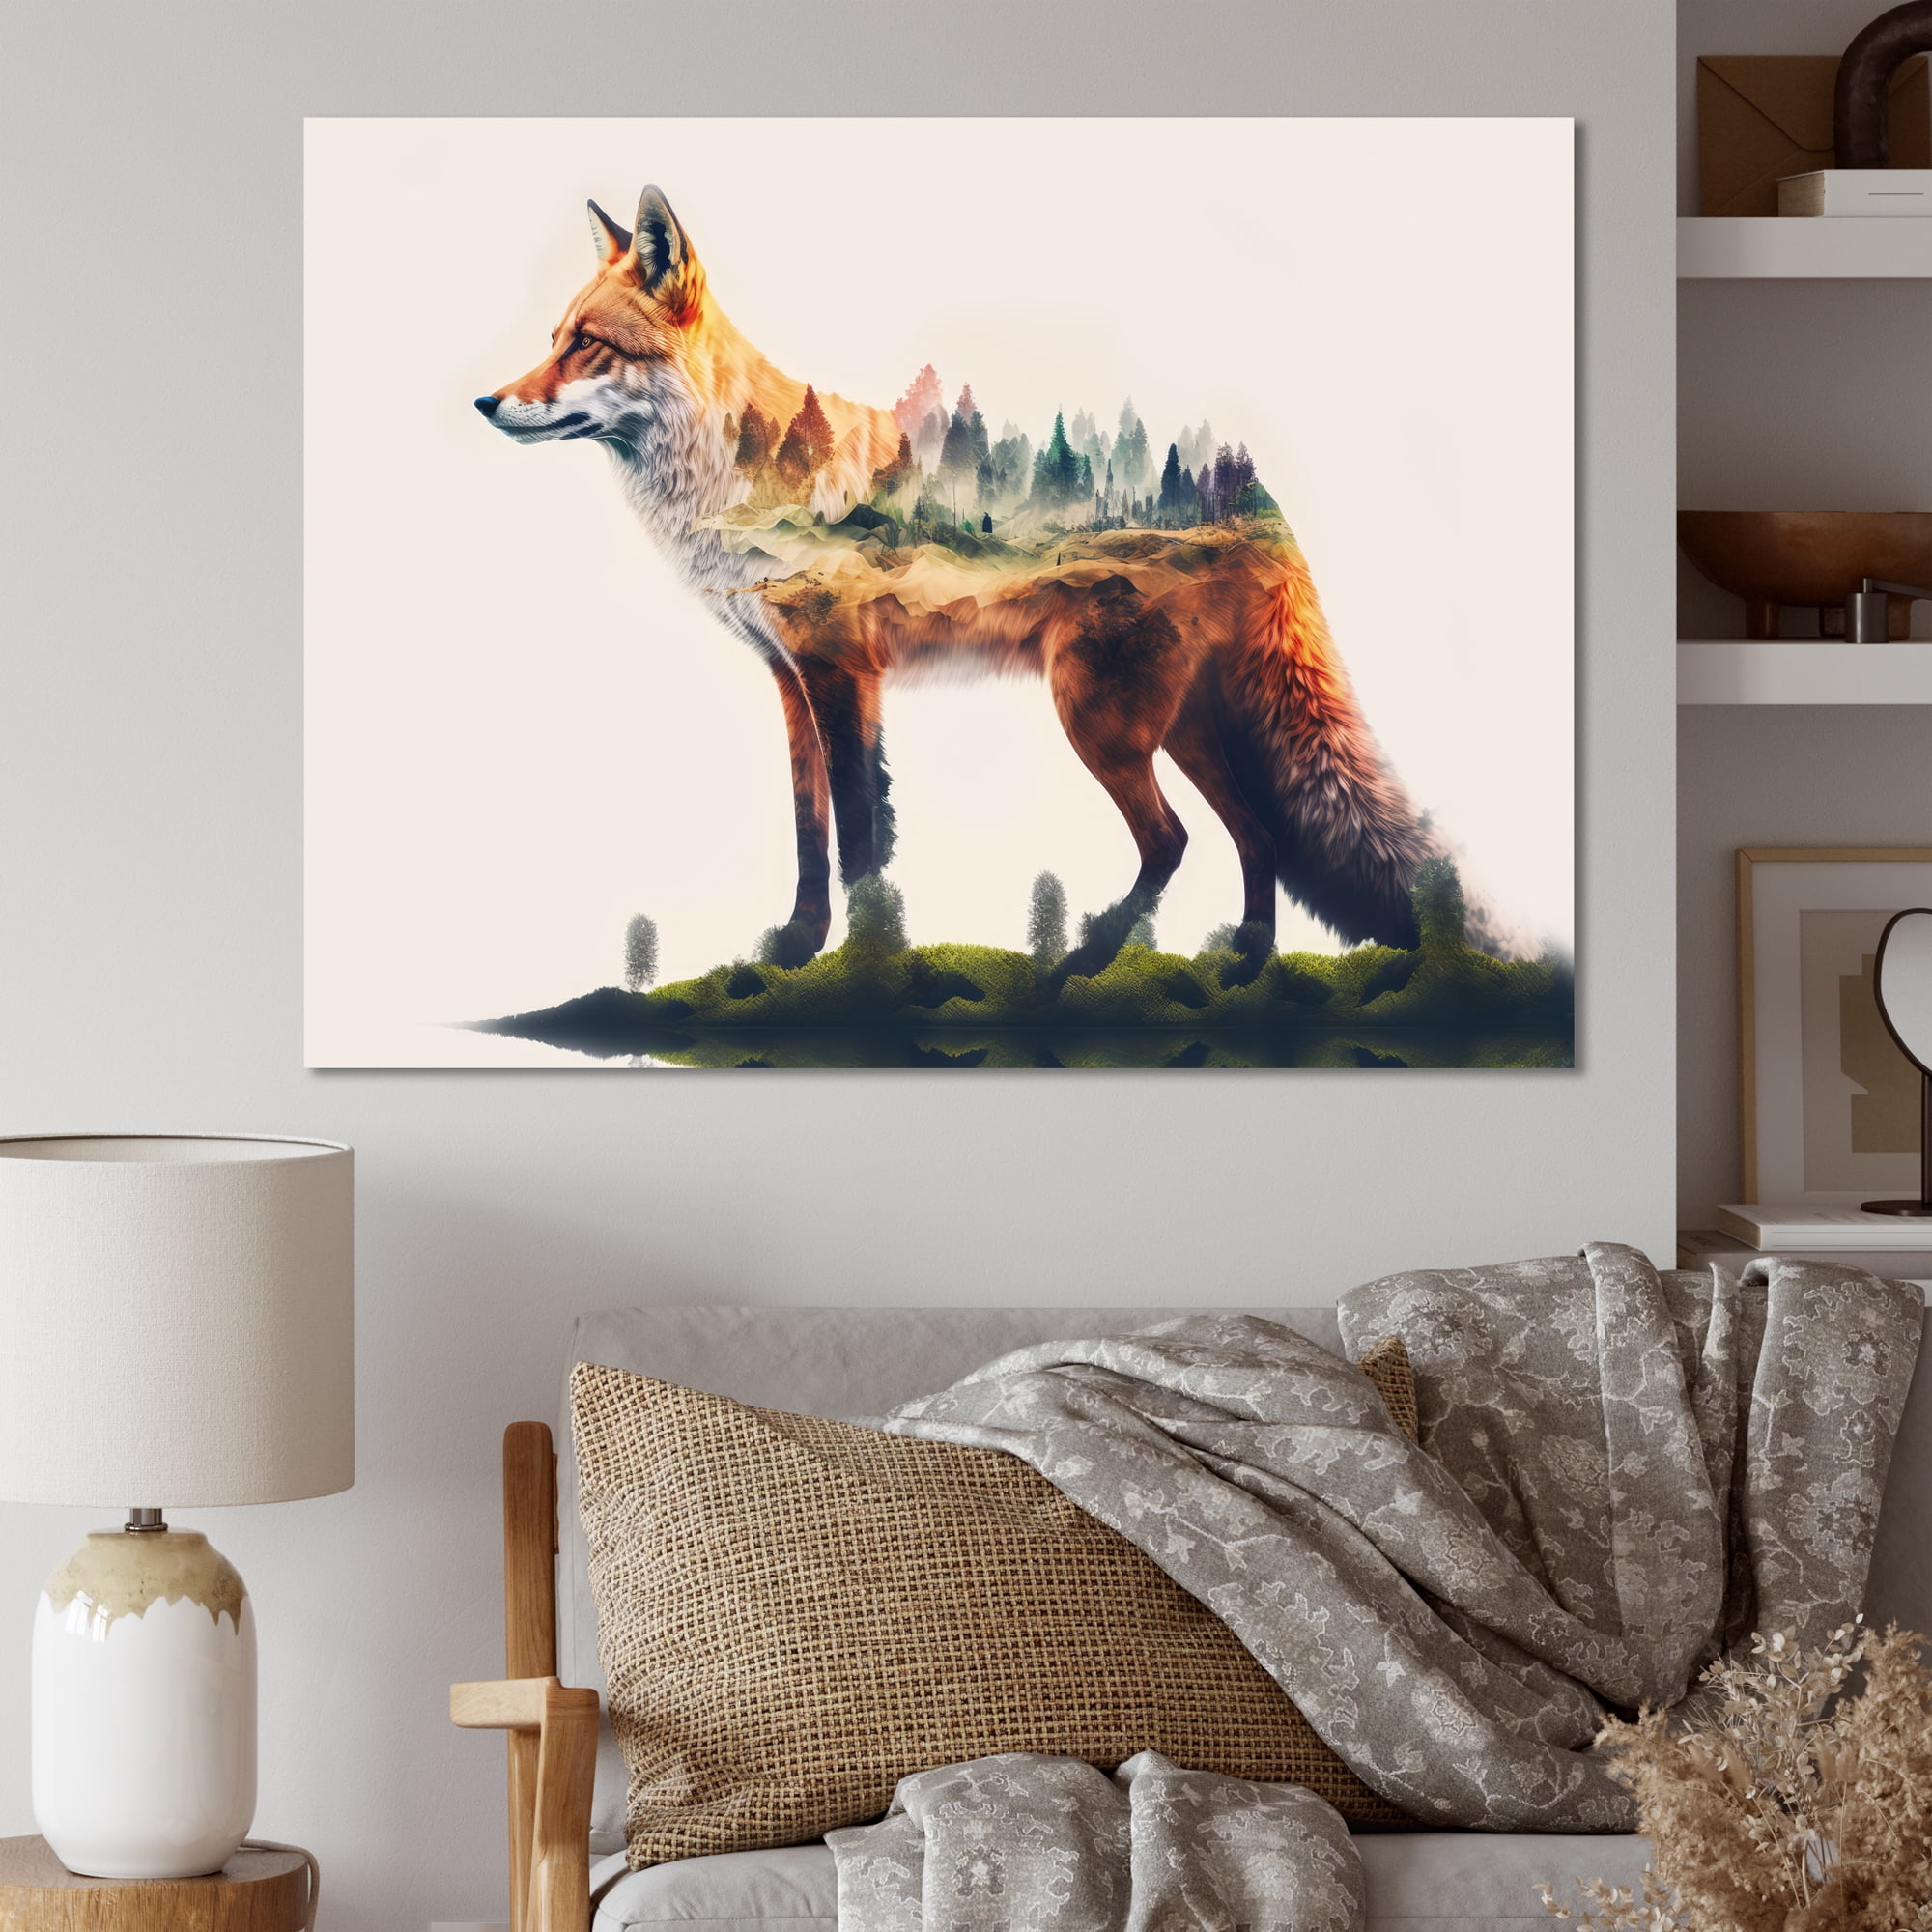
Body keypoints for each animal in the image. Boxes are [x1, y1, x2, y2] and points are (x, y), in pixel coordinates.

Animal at [477, 184, 1455, 980]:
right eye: (553, 340)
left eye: (588, 345)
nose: (486, 403)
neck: (734, 488)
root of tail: (1257, 493)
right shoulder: (794, 683)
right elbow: (811, 833)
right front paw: (798, 949)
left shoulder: (843, 674)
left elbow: (860, 835)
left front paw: (865, 964)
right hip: (1175, 727)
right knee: (1255, 835)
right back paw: (1246, 964)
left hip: (1097, 719)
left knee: (1174, 840)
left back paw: (1085, 960)